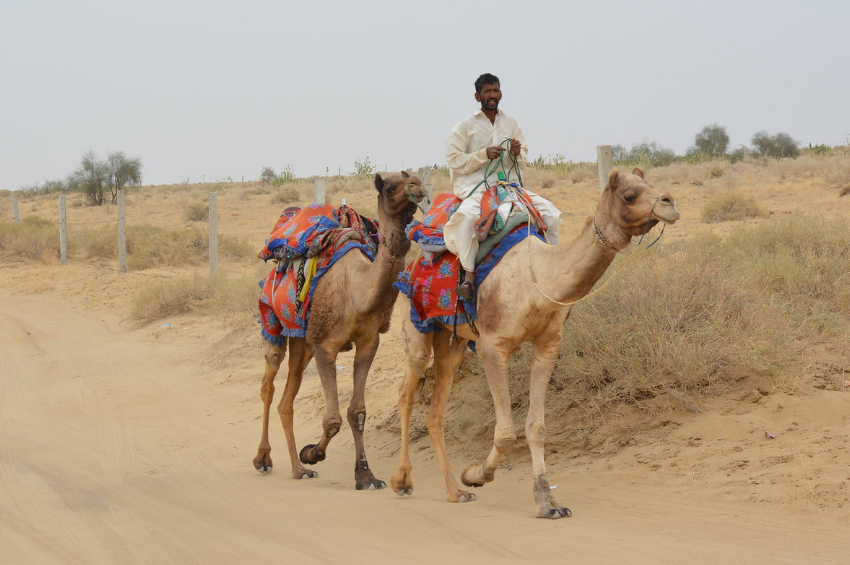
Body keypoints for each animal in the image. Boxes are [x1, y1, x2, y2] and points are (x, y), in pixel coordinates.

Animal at [253, 171, 426, 490]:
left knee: (286, 401)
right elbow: (332, 419)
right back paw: (266, 459)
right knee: (268, 386)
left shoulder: (368, 342)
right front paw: (312, 453)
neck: (358, 293)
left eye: (414, 176)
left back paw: (297, 468)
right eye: (390, 187)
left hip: (302, 342)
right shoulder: (326, 347)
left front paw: (366, 475)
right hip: (271, 320)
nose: (417, 187)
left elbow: (357, 412)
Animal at [390, 167, 679, 517]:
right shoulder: (493, 346)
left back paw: (454, 491)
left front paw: (547, 501)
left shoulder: (547, 346)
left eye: (649, 184)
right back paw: (402, 481)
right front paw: (476, 474)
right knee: (406, 392)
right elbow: (504, 433)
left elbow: (536, 427)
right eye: (629, 195)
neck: (539, 278)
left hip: (452, 343)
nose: (669, 203)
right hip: (415, 325)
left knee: (436, 410)